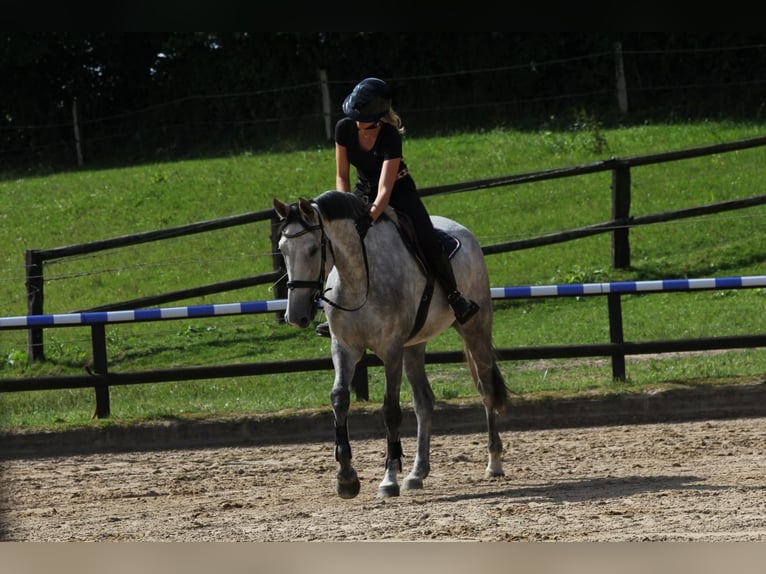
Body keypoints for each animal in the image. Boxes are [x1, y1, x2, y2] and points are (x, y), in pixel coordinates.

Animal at [274, 192, 510, 500]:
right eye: (282, 249)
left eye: (313, 249)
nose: (295, 316)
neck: (359, 277)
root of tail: (462, 230)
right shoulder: (344, 347)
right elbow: (339, 398)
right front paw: (346, 478)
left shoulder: (391, 350)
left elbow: (390, 411)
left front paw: (388, 478)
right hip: (415, 345)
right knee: (424, 401)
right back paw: (417, 473)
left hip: (474, 329)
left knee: (486, 390)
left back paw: (493, 463)